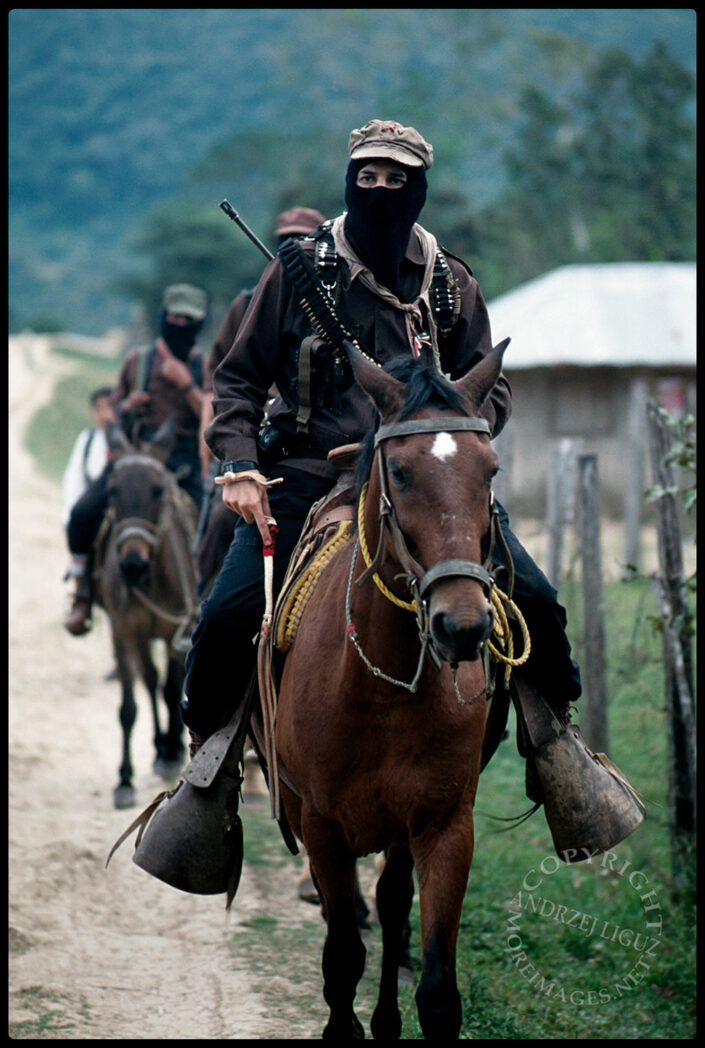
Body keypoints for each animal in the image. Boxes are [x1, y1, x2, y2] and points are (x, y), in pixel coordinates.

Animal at [94, 419, 199, 809]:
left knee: (161, 683)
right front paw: (124, 779)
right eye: (111, 491)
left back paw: (167, 748)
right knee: (149, 679)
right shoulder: (123, 631)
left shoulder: (174, 630)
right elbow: (129, 707)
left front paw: (170, 753)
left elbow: (171, 690)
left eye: (157, 491)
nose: (132, 565)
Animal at [272, 339, 509, 1035]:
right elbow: (342, 955)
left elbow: (437, 988)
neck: (385, 689)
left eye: (490, 470)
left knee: (393, 900)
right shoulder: (322, 825)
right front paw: (345, 1025)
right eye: (400, 473)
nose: (463, 626)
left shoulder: (444, 827)